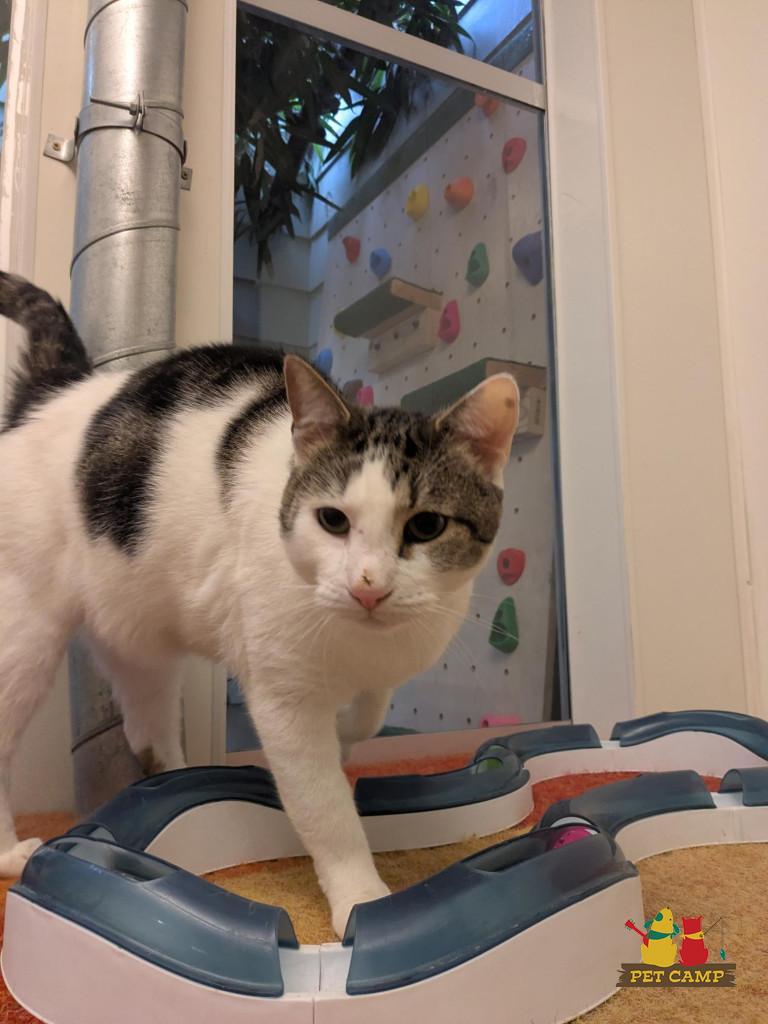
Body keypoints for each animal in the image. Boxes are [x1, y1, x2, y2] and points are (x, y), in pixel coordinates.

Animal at [0, 271, 519, 936]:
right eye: (332, 520)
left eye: (427, 526)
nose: (368, 586)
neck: (362, 641)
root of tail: (56, 390)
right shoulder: (283, 699)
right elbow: (324, 806)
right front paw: (361, 896)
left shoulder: (393, 657)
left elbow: (372, 711)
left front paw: (348, 733)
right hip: (26, 631)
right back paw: (13, 849)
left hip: (137, 638)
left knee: (146, 724)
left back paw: (175, 776)